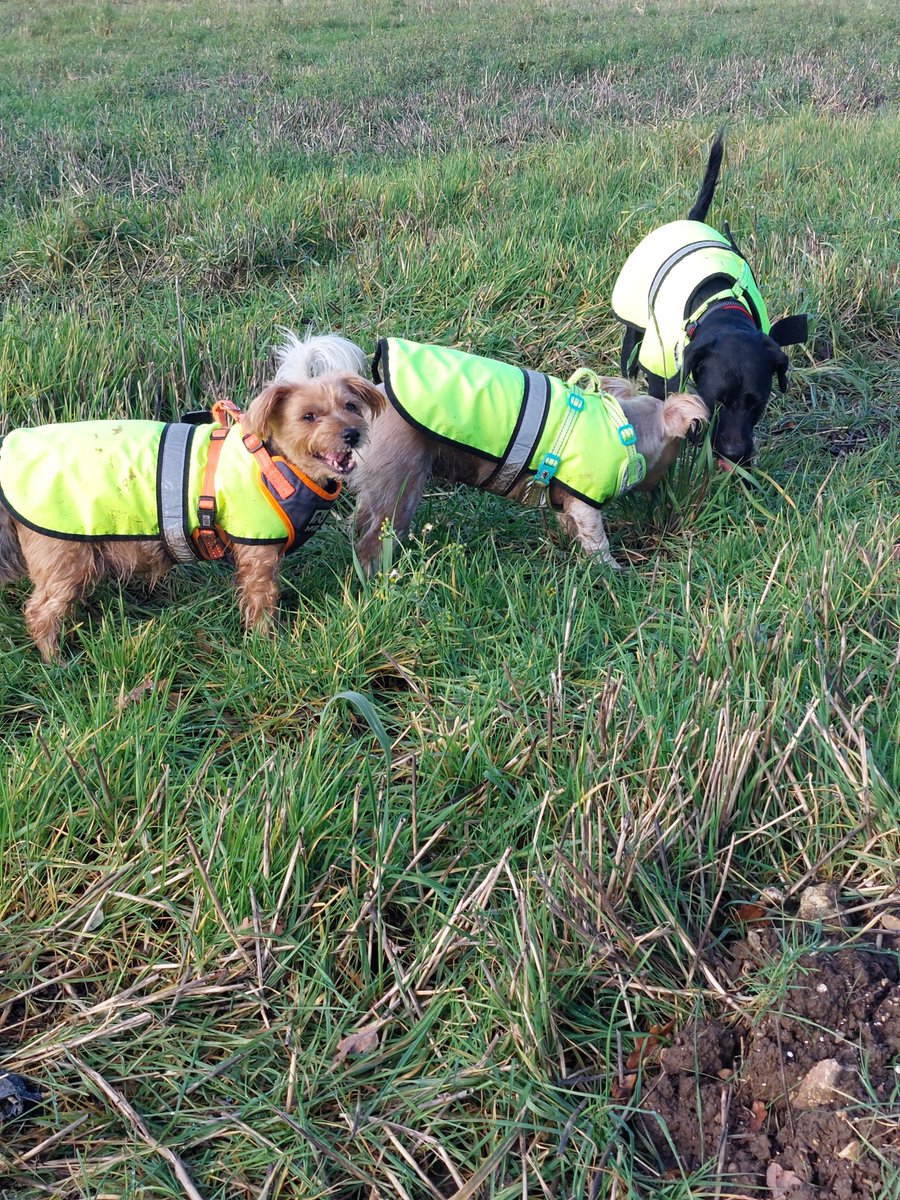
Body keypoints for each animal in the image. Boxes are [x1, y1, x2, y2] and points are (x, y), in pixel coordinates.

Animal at [0, 333, 384, 662]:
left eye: (351, 406)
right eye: (308, 416)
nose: (352, 434)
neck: (275, 460)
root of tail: (10, 451)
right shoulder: (258, 557)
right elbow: (261, 601)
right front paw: (267, 645)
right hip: (66, 558)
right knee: (39, 612)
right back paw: (56, 661)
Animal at [614, 135, 811, 463]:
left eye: (757, 403)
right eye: (716, 399)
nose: (735, 454)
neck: (719, 307)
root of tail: (688, 221)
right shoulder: (662, 373)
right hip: (634, 327)